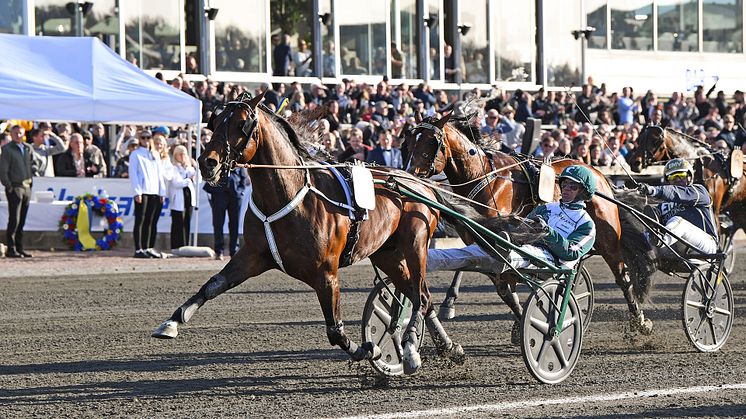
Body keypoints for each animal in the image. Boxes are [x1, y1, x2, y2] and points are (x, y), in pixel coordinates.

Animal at [150, 93, 462, 376]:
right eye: (215, 122)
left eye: (242, 124)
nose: (207, 163)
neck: (287, 195)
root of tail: (418, 182)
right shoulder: (252, 256)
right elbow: (212, 285)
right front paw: (172, 322)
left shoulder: (326, 273)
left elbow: (335, 330)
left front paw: (367, 349)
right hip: (387, 254)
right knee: (421, 295)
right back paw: (446, 347)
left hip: (415, 245)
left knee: (419, 296)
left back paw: (410, 348)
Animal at [404, 113, 652, 336]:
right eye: (408, 141)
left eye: (431, 142)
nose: (409, 173)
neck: (483, 177)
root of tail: (598, 174)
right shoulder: (480, 239)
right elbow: (502, 286)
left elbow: (506, 280)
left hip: (608, 240)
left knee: (622, 277)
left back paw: (639, 321)